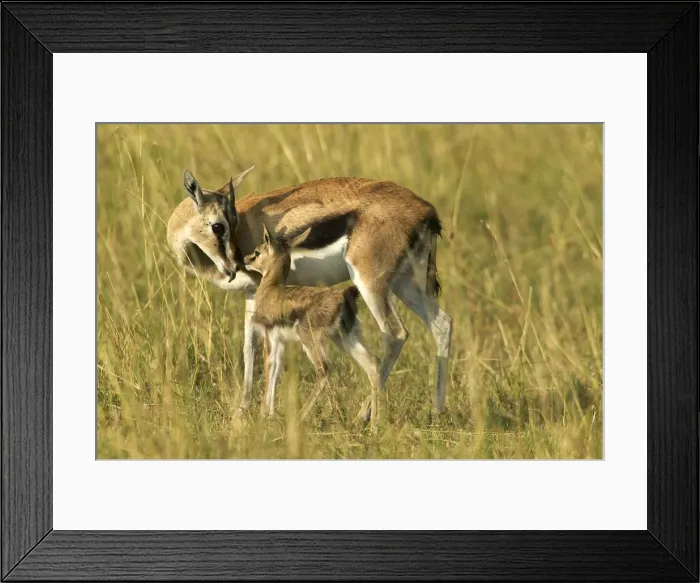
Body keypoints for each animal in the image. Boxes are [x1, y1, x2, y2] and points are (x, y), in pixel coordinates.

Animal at [243, 224, 380, 420]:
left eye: (257, 252)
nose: (245, 259)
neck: (271, 289)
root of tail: (344, 294)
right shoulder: (280, 340)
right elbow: (276, 370)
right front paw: (270, 414)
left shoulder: (270, 336)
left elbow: (269, 368)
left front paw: (263, 415)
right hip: (344, 338)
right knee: (373, 364)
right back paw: (375, 422)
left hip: (310, 339)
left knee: (324, 370)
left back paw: (300, 415)